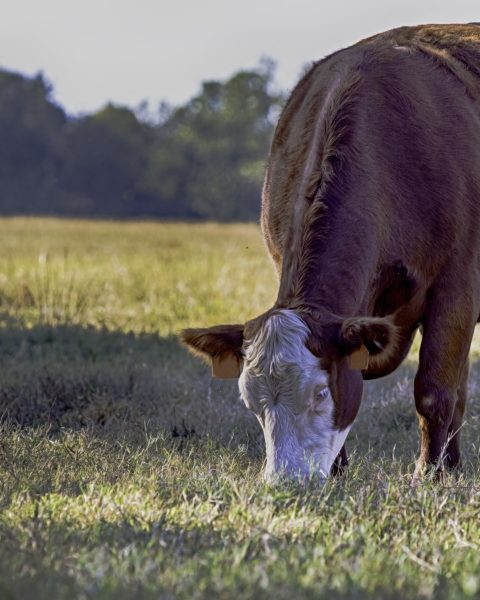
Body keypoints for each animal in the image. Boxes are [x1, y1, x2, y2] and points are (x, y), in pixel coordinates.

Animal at [180, 24, 480, 482]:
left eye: (321, 392)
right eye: (250, 401)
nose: (286, 481)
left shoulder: (457, 287)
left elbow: (435, 391)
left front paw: (429, 476)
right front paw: (340, 472)